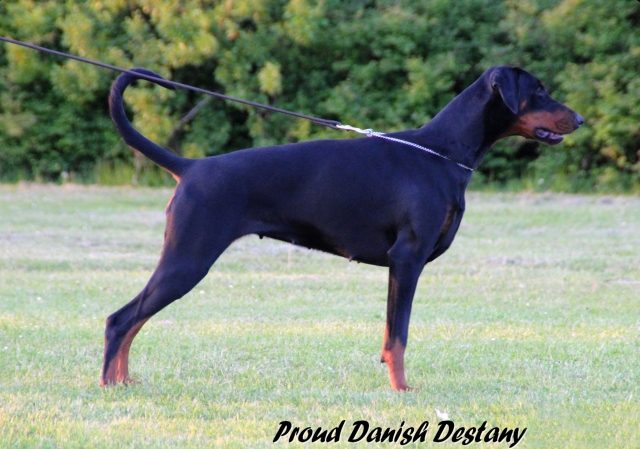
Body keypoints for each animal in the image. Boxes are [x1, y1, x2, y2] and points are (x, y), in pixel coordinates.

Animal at [101, 66, 583, 390]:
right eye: (540, 91)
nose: (578, 119)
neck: (441, 153)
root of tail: (190, 167)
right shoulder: (407, 259)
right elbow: (398, 334)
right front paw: (402, 390)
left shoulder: (401, 264)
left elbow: (391, 333)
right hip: (189, 258)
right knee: (120, 319)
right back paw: (109, 385)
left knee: (134, 321)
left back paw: (124, 381)